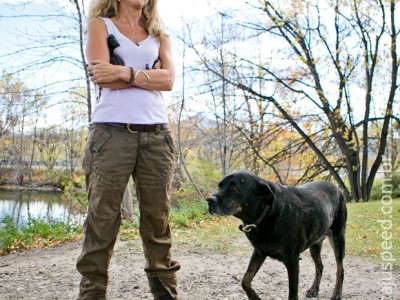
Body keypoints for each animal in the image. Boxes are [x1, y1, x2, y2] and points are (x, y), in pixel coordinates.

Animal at [208, 171, 346, 300]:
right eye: (220, 186)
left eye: (235, 188)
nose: (209, 200)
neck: (268, 215)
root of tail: (337, 188)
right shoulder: (259, 252)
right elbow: (245, 281)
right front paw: (255, 297)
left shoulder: (292, 260)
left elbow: (292, 294)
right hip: (315, 244)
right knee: (320, 266)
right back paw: (314, 289)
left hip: (338, 240)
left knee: (340, 269)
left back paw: (337, 294)